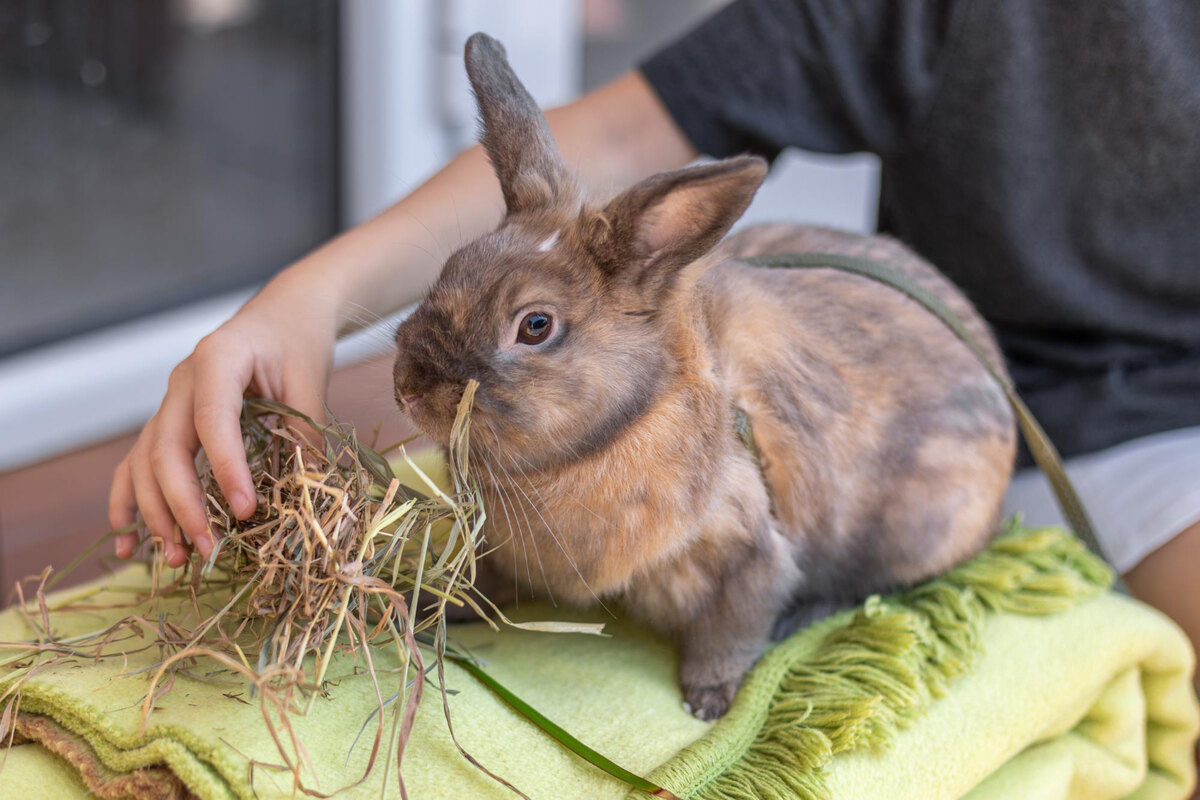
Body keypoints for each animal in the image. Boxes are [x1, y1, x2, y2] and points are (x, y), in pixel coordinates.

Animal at [393, 32, 1012, 719]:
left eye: (535, 326)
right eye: (453, 268)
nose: (407, 388)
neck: (629, 419)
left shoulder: (749, 553)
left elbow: (733, 627)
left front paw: (710, 701)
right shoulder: (503, 551)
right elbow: (482, 583)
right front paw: (429, 606)